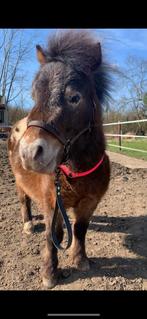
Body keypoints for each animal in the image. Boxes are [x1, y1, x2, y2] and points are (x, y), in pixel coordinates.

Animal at [7, 30, 110, 290]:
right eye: (34, 96)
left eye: (75, 97)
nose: (29, 152)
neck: (76, 170)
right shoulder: (51, 202)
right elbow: (50, 236)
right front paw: (50, 273)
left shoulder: (90, 202)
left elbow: (80, 229)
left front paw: (80, 260)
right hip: (20, 182)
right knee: (24, 201)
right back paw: (28, 224)